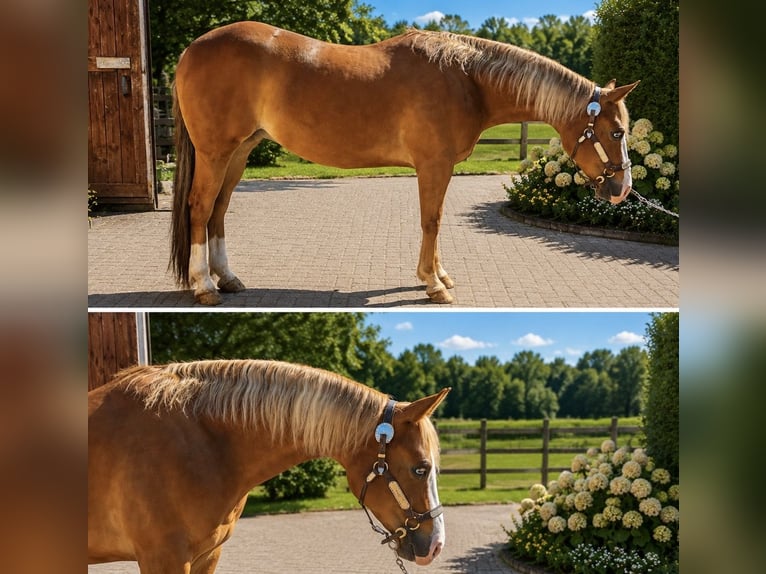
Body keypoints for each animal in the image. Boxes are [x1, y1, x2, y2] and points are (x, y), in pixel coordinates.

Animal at [169, 22, 639, 305]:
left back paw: (228, 279)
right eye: (617, 133)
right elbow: (431, 220)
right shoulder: (433, 165)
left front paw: (440, 276)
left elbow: (436, 221)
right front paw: (433, 284)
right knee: (200, 208)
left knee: (219, 211)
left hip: (240, 151)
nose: (622, 191)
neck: (466, 78)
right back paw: (204, 285)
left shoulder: (439, 167)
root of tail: (190, 50)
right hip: (215, 152)